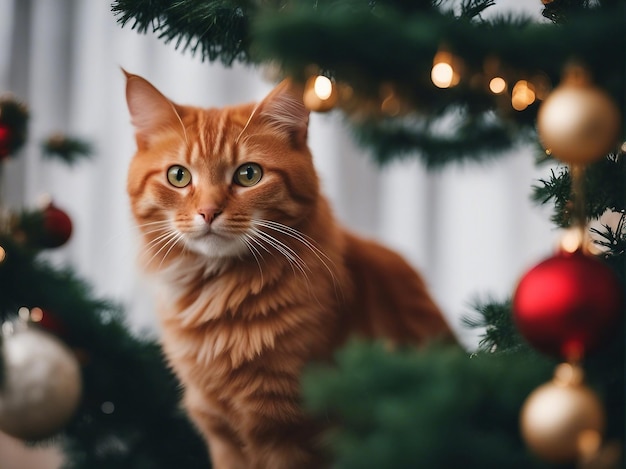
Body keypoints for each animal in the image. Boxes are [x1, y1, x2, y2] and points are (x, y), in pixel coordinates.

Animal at [123, 70, 454, 468]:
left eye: (249, 175)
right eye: (178, 176)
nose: (208, 211)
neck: (222, 302)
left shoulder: (296, 434)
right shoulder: (221, 435)